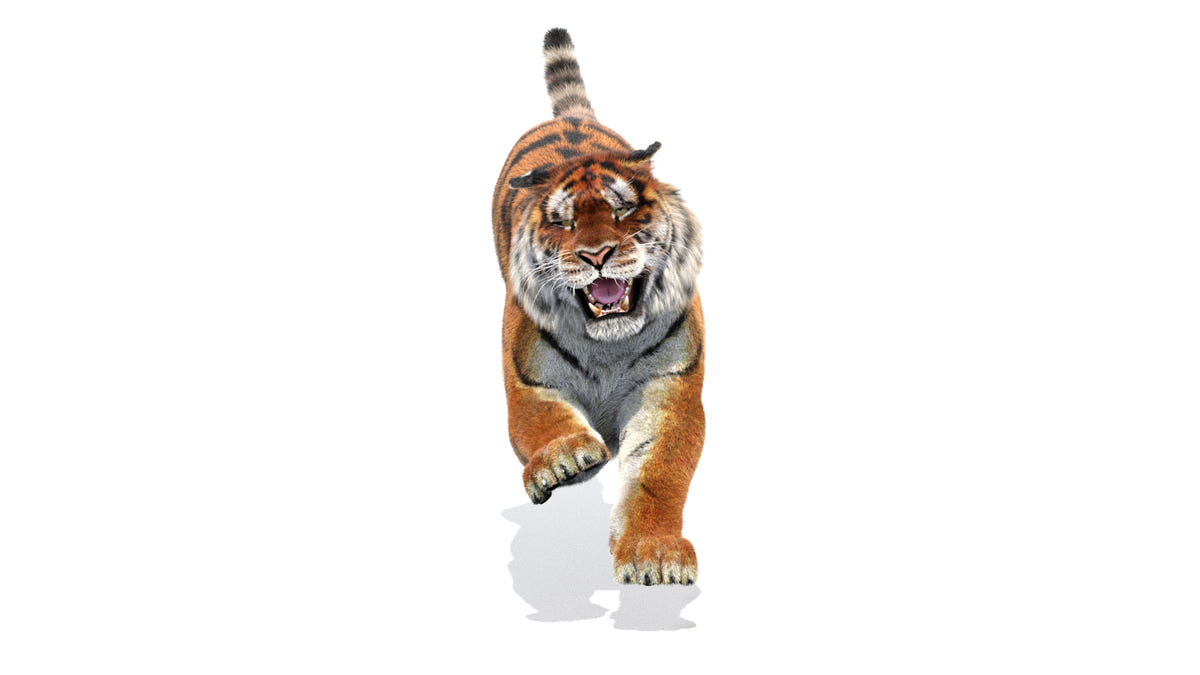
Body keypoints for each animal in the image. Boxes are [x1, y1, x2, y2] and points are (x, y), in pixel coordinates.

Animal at [492, 28, 705, 586]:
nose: (595, 255)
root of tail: (572, 119)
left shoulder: (669, 390)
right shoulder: (527, 380)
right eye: (562, 222)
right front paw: (565, 460)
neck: (608, 345)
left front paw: (655, 555)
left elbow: (657, 472)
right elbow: (541, 421)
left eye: (622, 210)